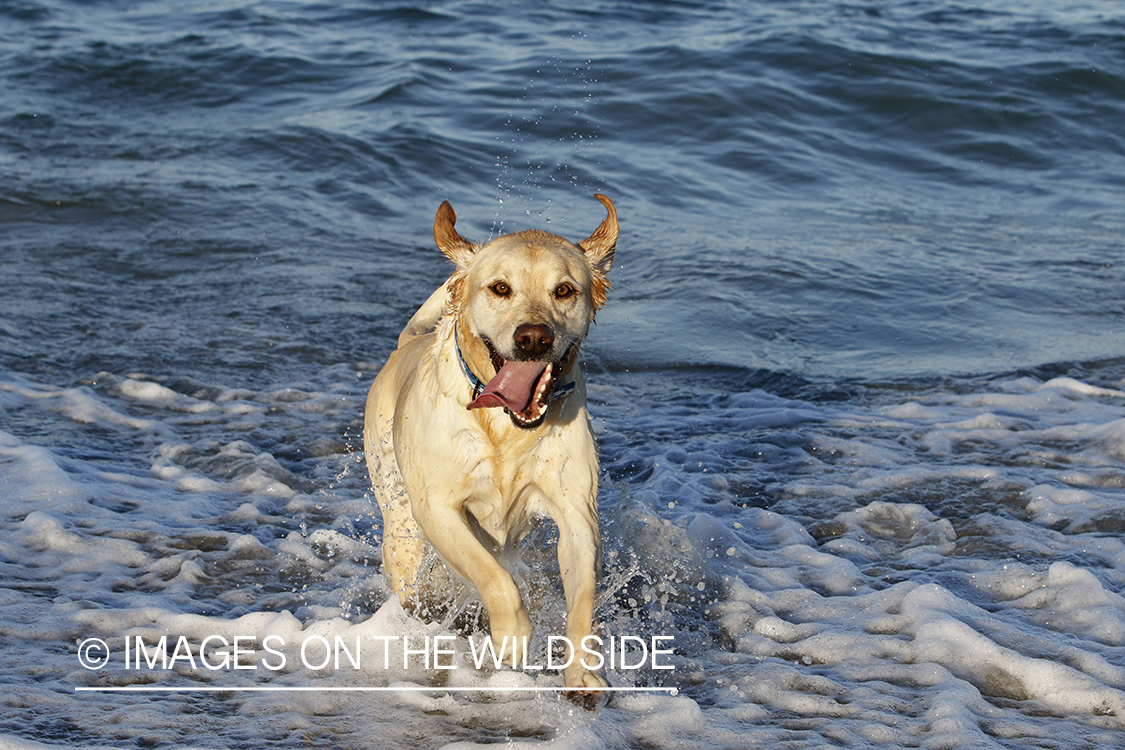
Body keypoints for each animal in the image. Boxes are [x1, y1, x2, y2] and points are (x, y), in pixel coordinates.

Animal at [364, 193, 621, 692]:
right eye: (500, 288)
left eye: (564, 290)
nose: (534, 337)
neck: (506, 427)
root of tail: (404, 345)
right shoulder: (437, 509)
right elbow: (497, 581)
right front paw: (512, 638)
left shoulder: (577, 513)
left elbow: (581, 600)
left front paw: (583, 671)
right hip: (402, 531)